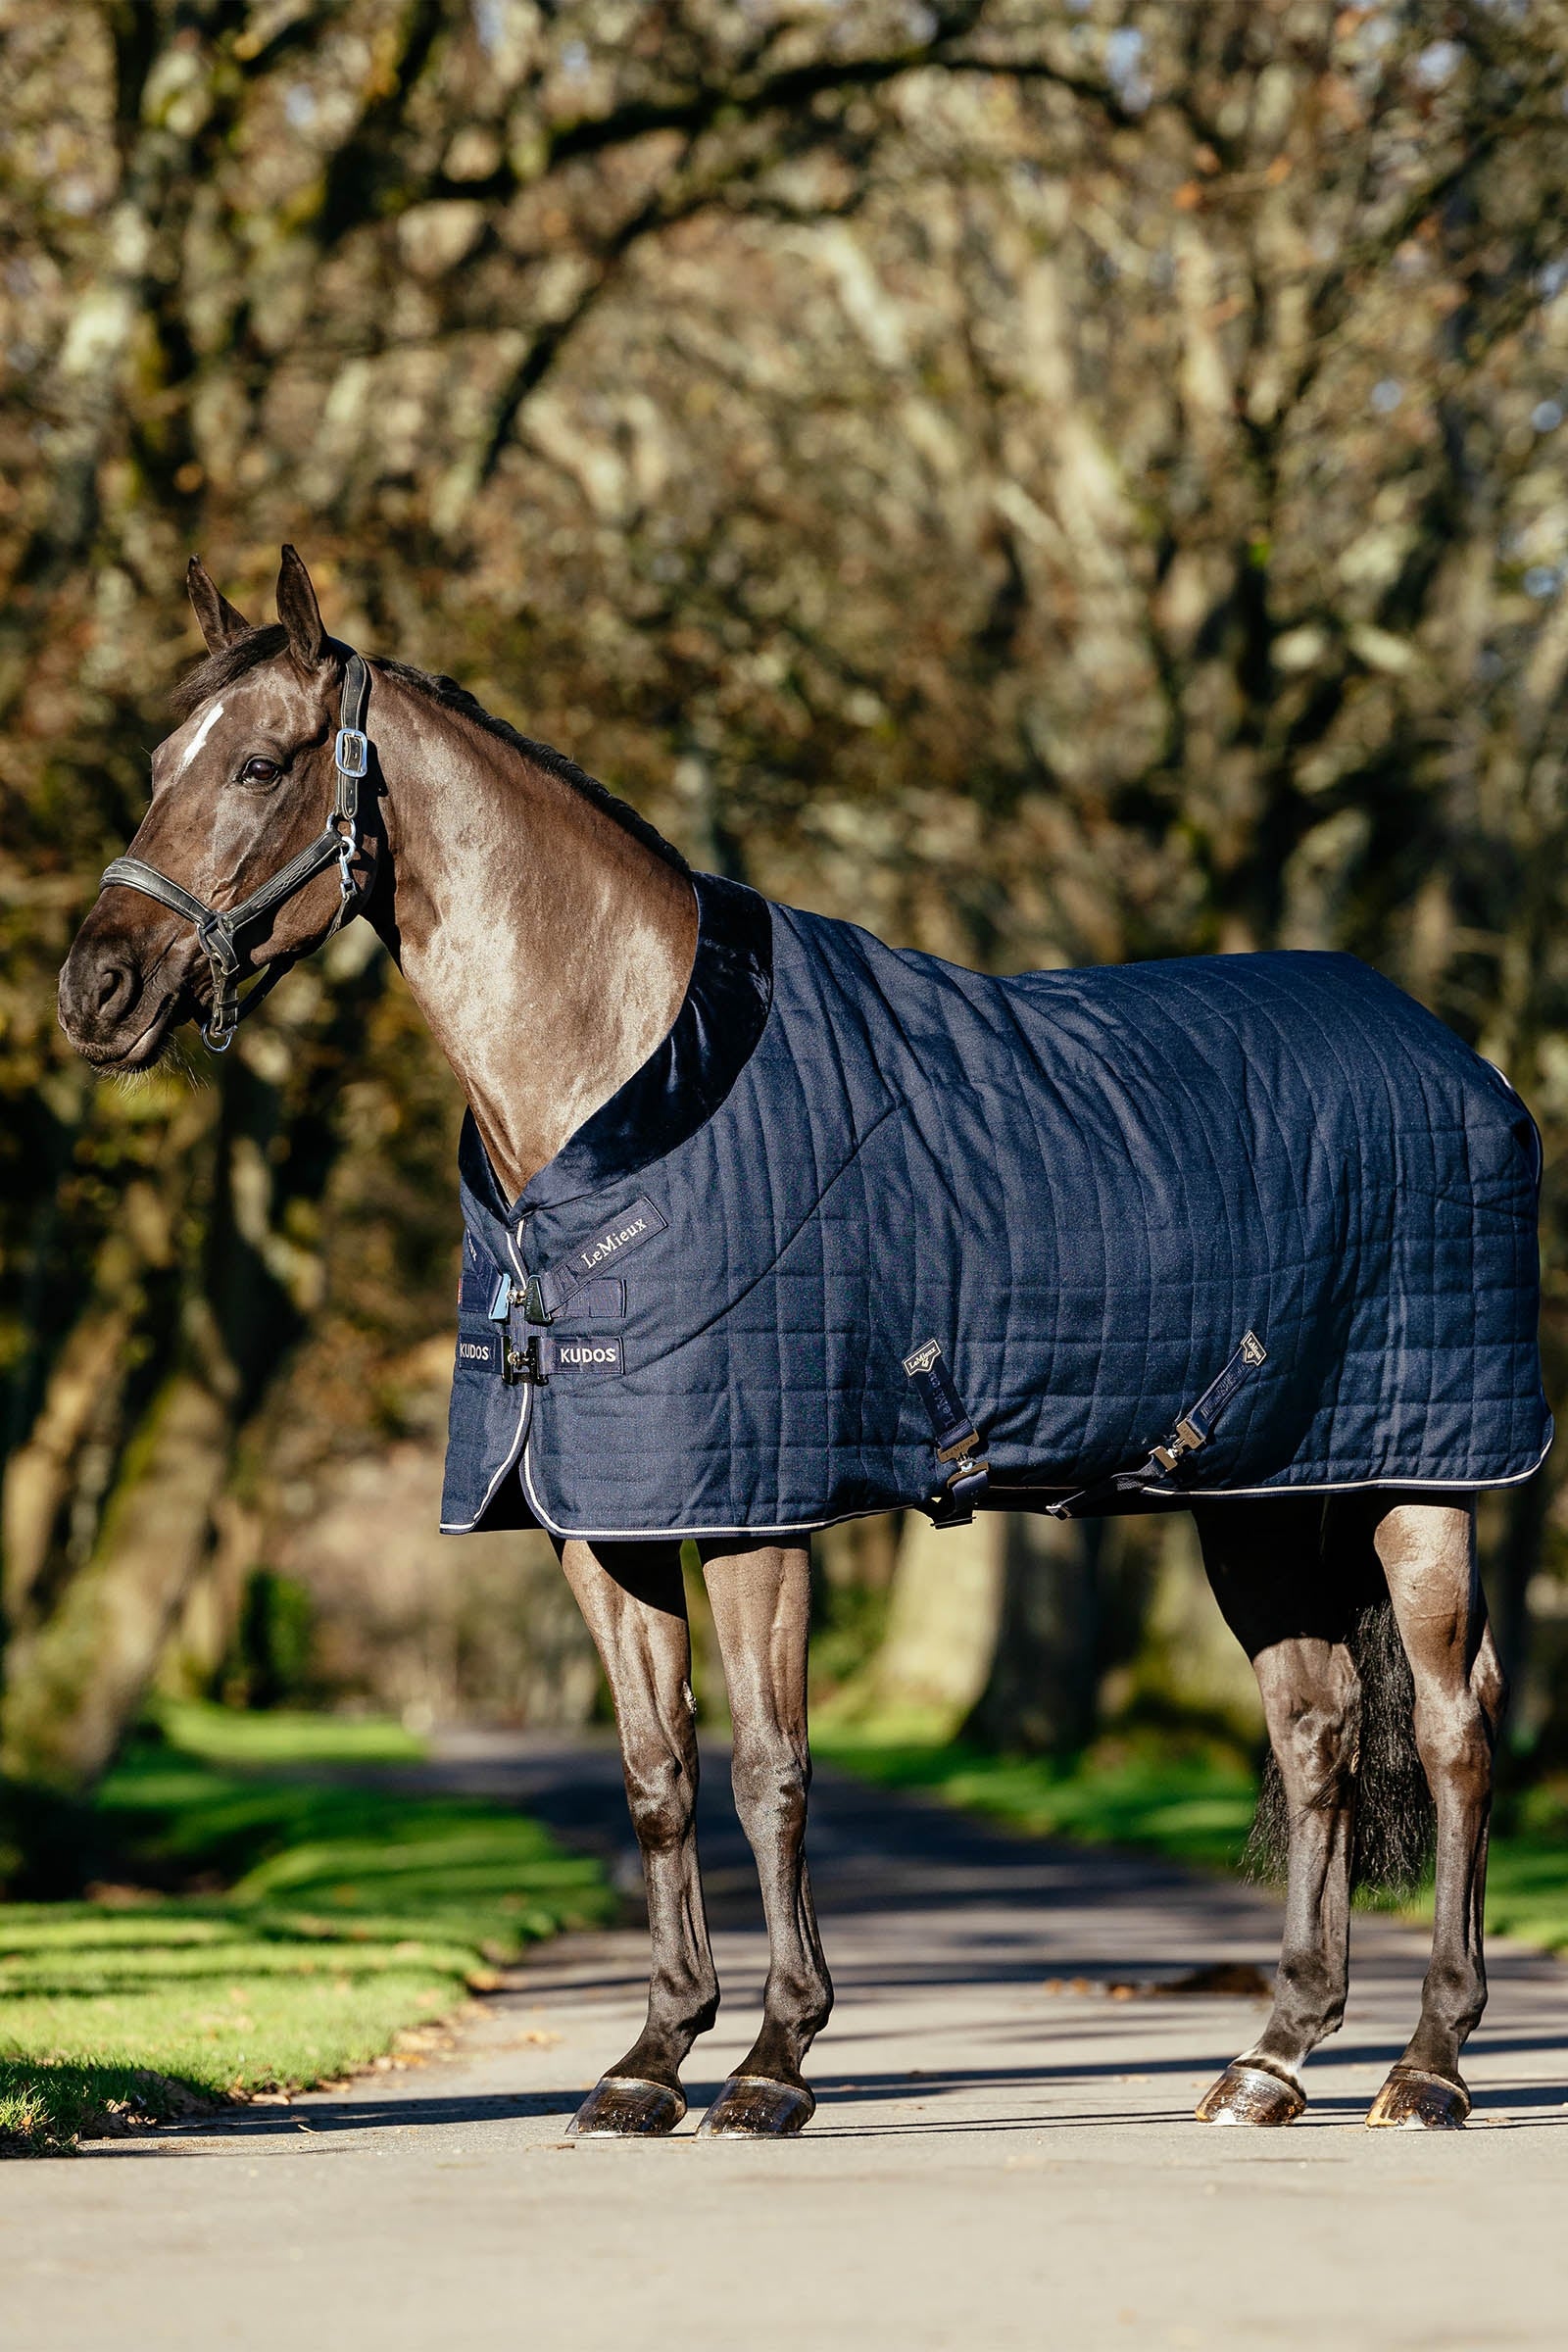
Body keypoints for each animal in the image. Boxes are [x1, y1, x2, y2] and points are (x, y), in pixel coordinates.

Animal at [57, 547, 1544, 2138]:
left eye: (259, 764)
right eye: (154, 763)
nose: (97, 990)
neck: (624, 1087)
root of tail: (1449, 1054)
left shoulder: (753, 1503)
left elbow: (771, 1767)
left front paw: (773, 2061)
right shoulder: (605, 1516)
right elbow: (657, 1772)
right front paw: (648, 2061)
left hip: (1422, 1483)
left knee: (1452, 1729)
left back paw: (1430, 2063)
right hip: (1257, 1495)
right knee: (1316, 1729)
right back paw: (1268, 2061)